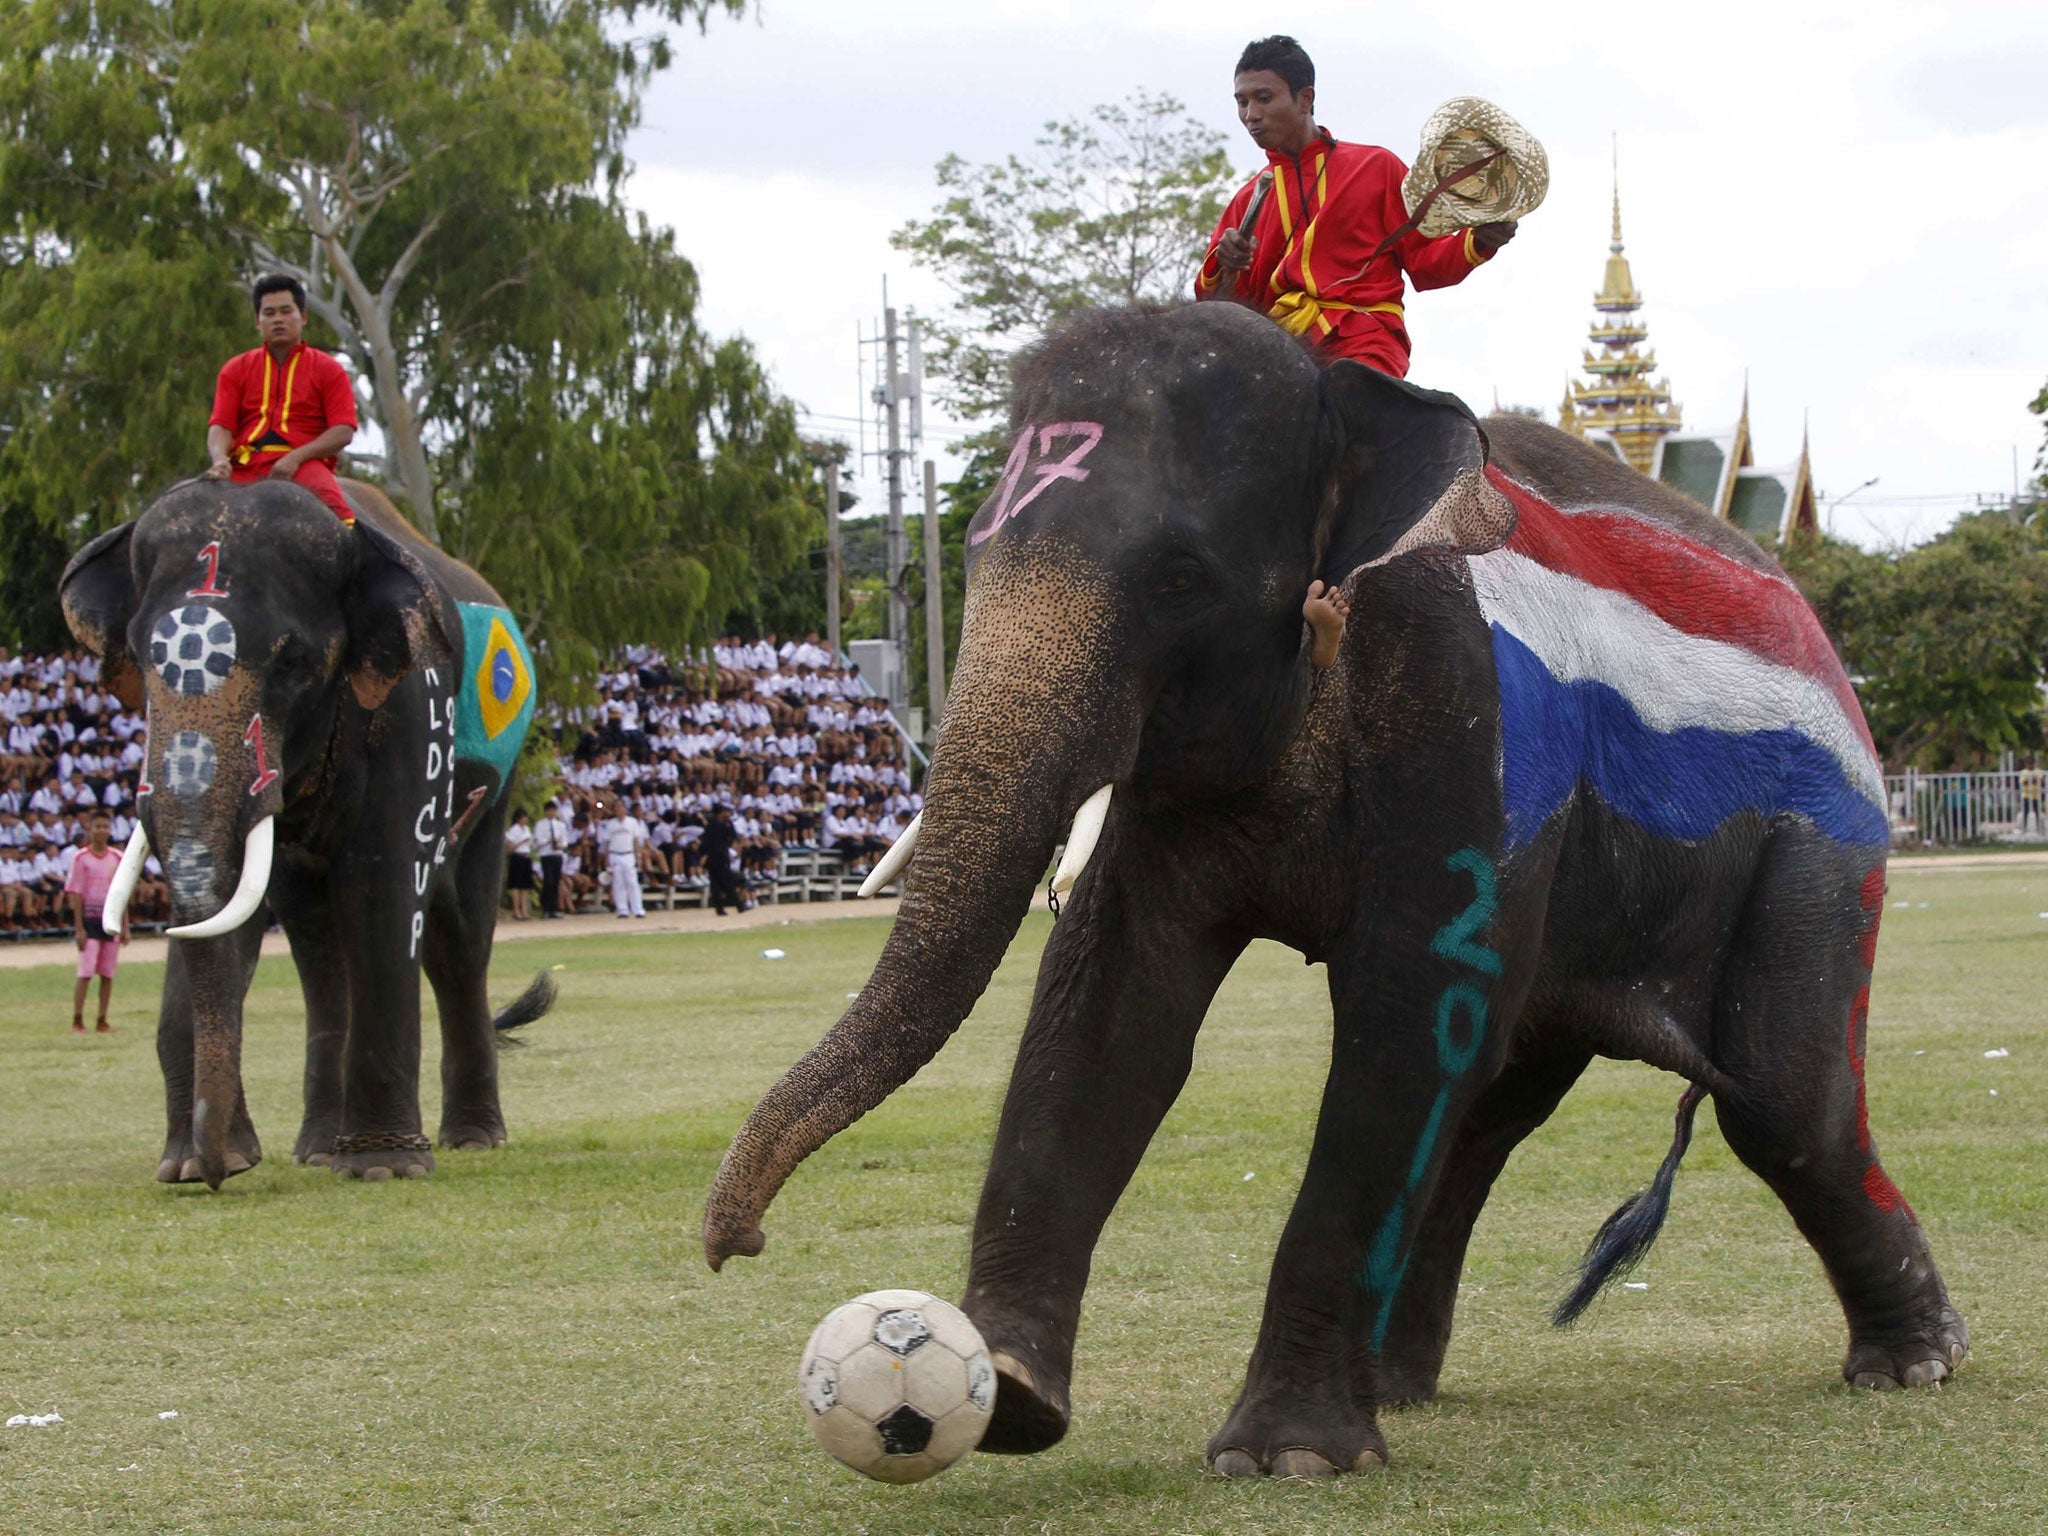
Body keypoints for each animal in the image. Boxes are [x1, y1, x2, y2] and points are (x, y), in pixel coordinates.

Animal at [61, 481, 552, 1187]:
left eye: (291, 662)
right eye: (140, 662)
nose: (219, 1171)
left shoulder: (413, 705)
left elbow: (382, 886)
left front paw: (383, 1170)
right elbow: (228, 910)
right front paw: (187, 1168)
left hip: (497, 786)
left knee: (455, 939)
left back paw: (472, 1140)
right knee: (319, 946)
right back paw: (318, 1151)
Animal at [708, 303, 1966, 1482]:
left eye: (1179, 577)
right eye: (965, 551)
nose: (738, 1247)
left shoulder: (1462, 716)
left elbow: (1401, 1022)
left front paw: (1285, 1459)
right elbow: (1112, 1017)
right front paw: (1013, 1400)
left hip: (1823, 840)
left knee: (1778, 1099)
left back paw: (1912, 1362)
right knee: (1490, 1107)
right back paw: (1402, 1388)